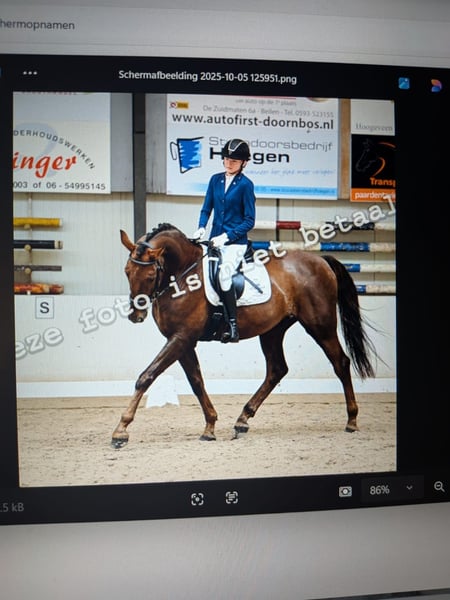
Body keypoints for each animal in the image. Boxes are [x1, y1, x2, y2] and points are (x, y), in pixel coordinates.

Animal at [111, 223, 376, 448]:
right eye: (126, 271)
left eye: (149, 276)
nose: (136, 315)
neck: (183, 276)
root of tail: (320, 260)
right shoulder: (183, 341)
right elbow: (196, 382)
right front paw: (210, 426)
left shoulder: (181, 338)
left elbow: (147, 376)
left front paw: (121, 431)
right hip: (272, 330)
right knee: (277, 369)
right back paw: (242, 420)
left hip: (320, 326)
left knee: (340, 362)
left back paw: (351, 421)